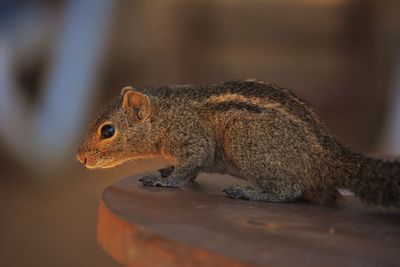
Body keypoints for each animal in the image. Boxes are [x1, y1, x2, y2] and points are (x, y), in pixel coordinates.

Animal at [76, 80, 398, 206]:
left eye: (108, 130)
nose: (81, 157)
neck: (167, 114)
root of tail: (331, 157)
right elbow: (191, 169)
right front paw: (166, 170)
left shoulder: (194, 139)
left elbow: (192, 163)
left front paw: (165, 180)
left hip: (248, 145)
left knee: (289, 191)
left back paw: (249, 192)